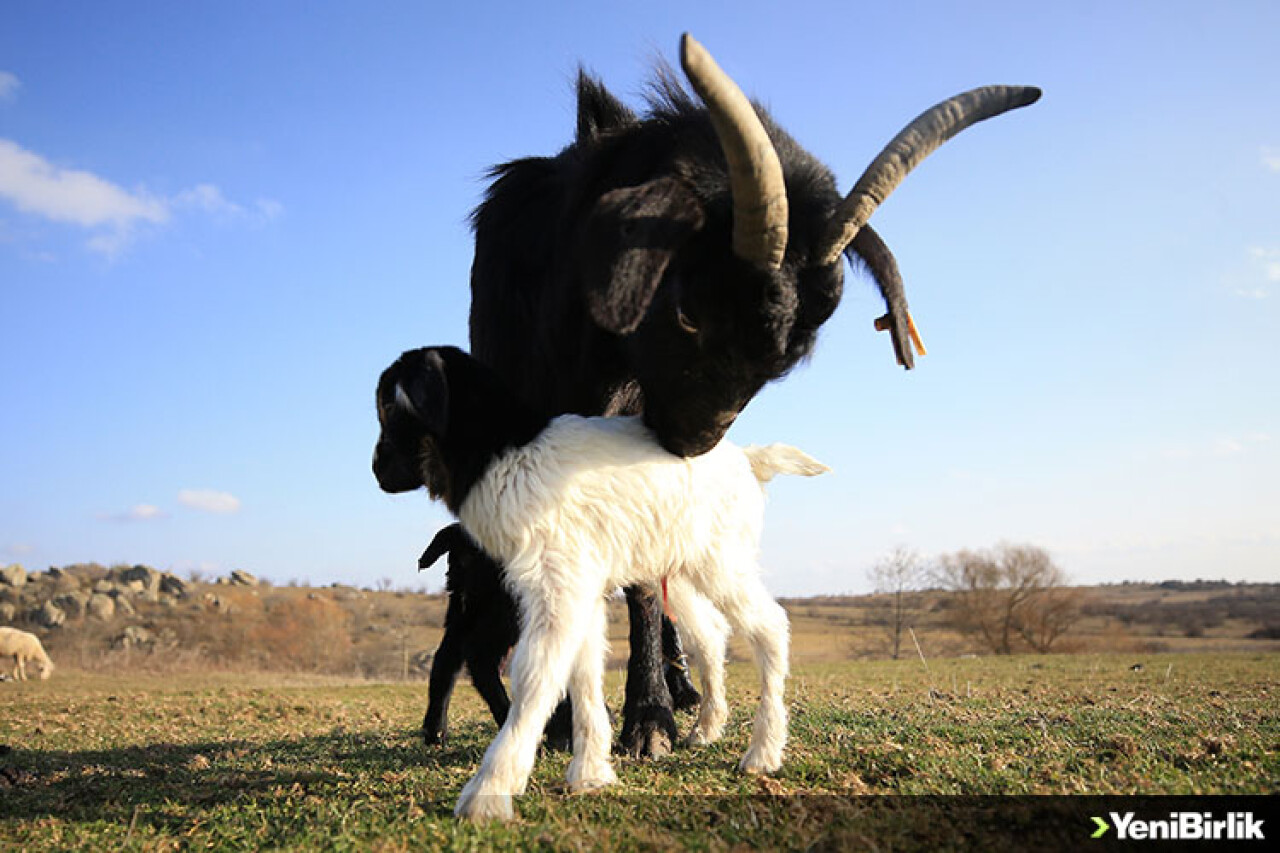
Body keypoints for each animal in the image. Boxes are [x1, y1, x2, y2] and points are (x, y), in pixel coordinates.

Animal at [373, 345, 829, 819]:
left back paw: (763, 752)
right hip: (675, 565)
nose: (377, 469)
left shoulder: (559, 583)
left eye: (387, 405)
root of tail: (748, 460)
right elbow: (584, 671)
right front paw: (591, 772)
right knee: (711, 633)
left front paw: (488, 792)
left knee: (769, 627)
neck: (506, 449)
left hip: (721, 557)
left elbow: (537, 675)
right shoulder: (577, 584)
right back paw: (707, 727)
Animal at [460, 33, 1039, 753]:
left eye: (793, 353)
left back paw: (680, 685)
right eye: (688, 310)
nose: (691, 443)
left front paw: (649, 715)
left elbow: (644, 583)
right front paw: (568, 719)